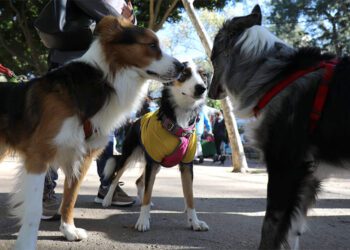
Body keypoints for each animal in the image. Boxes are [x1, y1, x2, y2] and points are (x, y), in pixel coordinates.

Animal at [1, 16, 183, 250]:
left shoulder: (82, 157)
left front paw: (68, 230)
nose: (182, 66)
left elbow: (70, 198)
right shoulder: (39, 155)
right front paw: (26, 244)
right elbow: (34, 209)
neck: (105, 80)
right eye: (152, 45)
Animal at [102, 60, 209, 232]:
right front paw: (143, 220)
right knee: (115, 178)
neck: (180, 118)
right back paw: (107, 199)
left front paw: (195, 221)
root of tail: (135, 120)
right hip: (129, 157)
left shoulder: (186, 165)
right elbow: (147, 192)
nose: (201, 88)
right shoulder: (152, 163)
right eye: (184, 73)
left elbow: (190, 196)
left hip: (155, 164)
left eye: (203, 75)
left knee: (139, 182)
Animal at [208, 3, 350, 250]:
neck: (272, 74)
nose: (207, 91)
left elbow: (270, 226)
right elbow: (293, 232)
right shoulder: (308, 175)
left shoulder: (285, 166)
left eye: (212, 57)